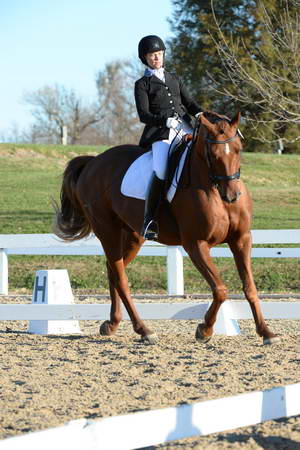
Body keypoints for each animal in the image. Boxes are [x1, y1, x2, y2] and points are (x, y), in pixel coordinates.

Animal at [53, 111, 278, 344]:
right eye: (212, 154)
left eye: (238, 149)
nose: (232, 196)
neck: (213, 188)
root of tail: (93, 162)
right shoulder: (196, 244)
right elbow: (220, 290)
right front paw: (204, 329)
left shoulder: (241, 239)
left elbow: (250, 288)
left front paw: (266, 332)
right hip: (108, 231)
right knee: (121, 278)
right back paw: (144, 330)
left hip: (133, 235)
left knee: (113, 270)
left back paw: (112, 324)